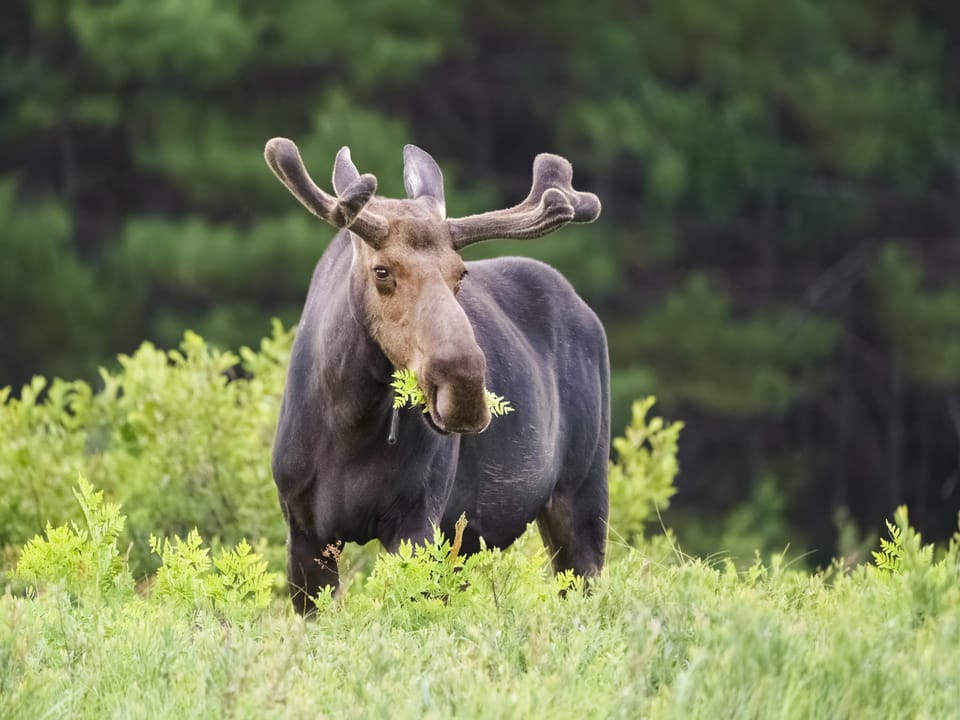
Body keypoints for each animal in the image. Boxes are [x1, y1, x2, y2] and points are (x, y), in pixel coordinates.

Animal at [264, 137, 609, 614]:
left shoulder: (418, 518)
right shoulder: (302, 525)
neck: (351, 422)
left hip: (583, 491)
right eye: (382, 270)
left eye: (460, 273)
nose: (463, 390)